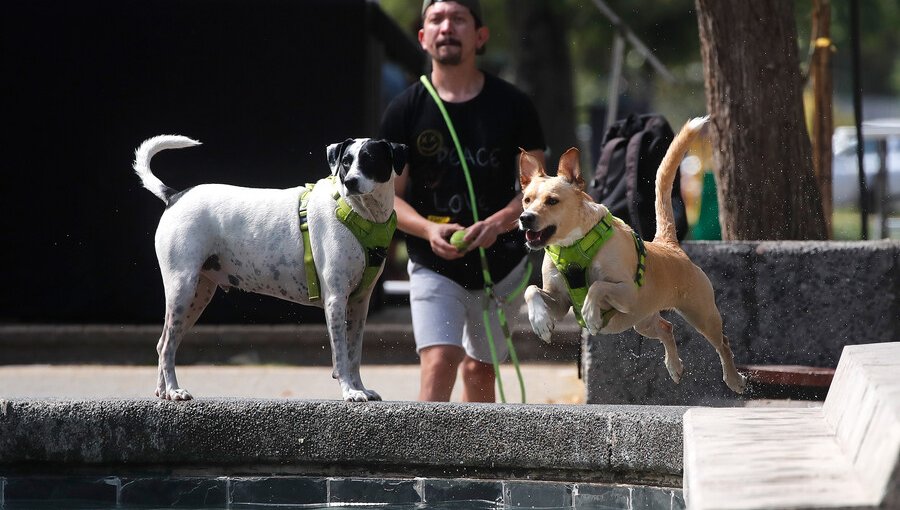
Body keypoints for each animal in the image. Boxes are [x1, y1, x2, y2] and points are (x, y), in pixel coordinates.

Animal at [132, 135, 406, 402]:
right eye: (346, 162)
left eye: (370, 159)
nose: (349, 182)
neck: (357, 213)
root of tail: (175, 196)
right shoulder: (336, 300)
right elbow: (340, 355)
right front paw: (349, 391)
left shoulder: (359, 303)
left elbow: (354, 354)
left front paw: (361, 388)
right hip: (182, 290)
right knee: (167, 345)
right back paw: (174, 390)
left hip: (197, 297)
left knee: (163, 344)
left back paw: (163, 392)